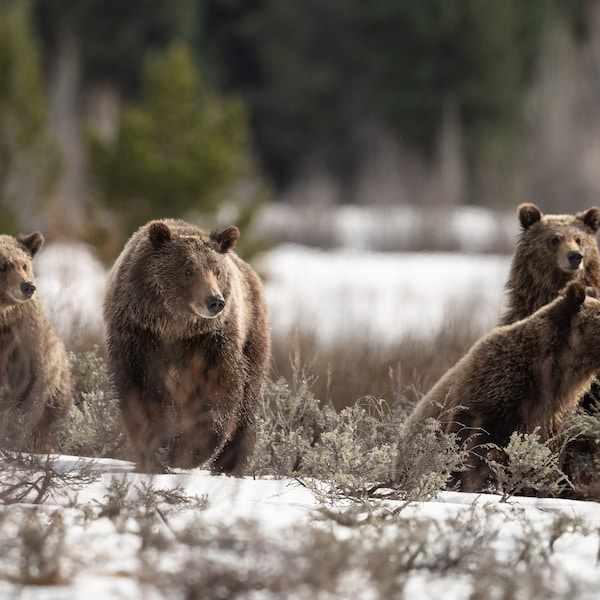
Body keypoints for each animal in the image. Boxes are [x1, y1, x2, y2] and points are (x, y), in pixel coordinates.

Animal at [103, 218, 272, 476]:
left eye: (217, 271)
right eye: (188, 270)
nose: (215, 301)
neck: (175, 326)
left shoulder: (210, 342)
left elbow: (217, 392)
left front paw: (184, 452)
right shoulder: (139, 336)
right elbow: (141, 393)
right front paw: (155, 453)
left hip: (253, 335)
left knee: (248, 402)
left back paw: (231, 464)